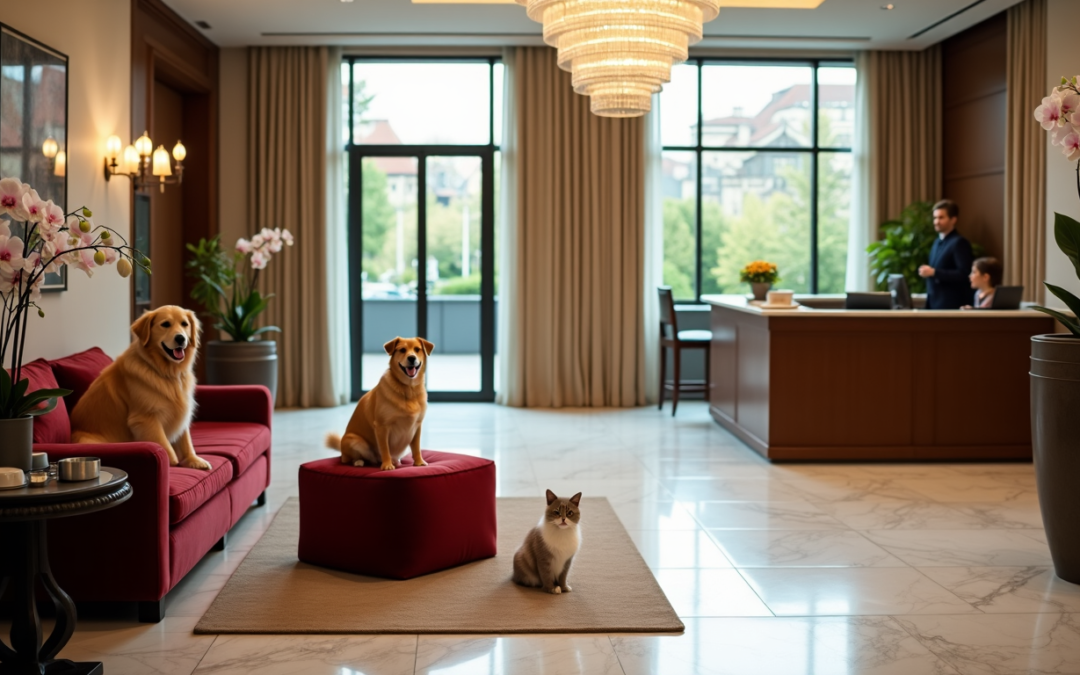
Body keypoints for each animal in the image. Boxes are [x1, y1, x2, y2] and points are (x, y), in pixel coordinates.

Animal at [70, 304, 211, 468]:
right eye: (165, 324)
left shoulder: (181, 410)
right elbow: (164, 445)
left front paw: (193, 460)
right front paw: (171, 464)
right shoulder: (145, 418)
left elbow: (185, 439)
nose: (181, 338)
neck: (165, 371)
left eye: (184, 324)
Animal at [324, 334, 434, 468]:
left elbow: (417, 447)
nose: (412, 358)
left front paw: (419, 462)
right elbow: (385, 448)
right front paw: (387, 465)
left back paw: (395, 461)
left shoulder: (417, 426)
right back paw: (360, 462)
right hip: (354, 441)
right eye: (402, 350)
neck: (408, 389)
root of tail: (341, 450)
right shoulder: (382, 426)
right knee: (352, 459)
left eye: (417, 349)